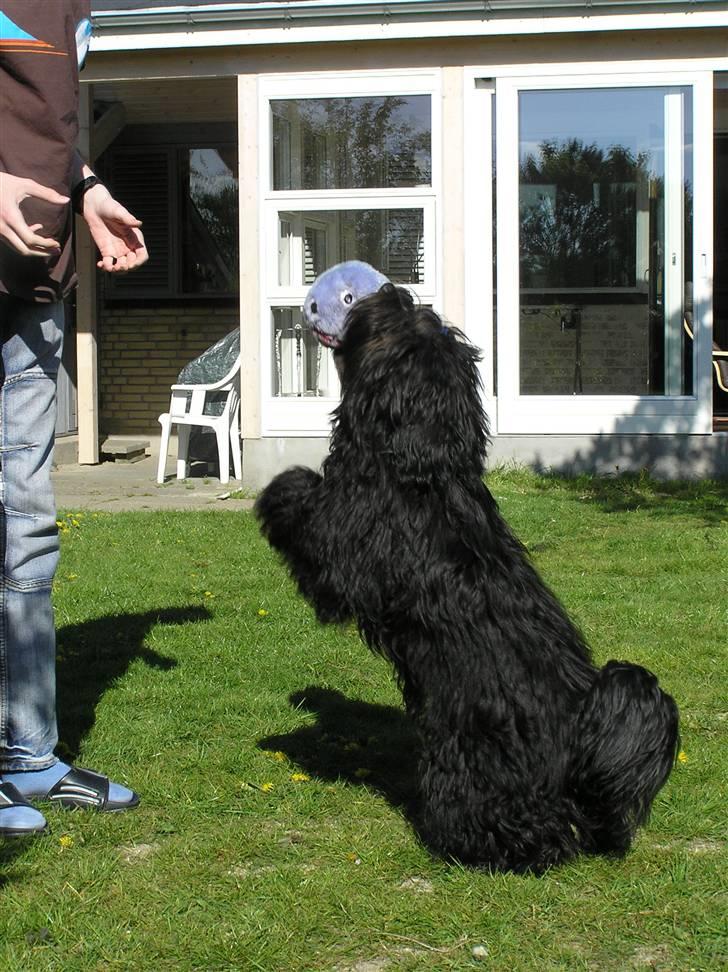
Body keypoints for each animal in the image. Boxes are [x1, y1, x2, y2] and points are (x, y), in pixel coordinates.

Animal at [255, 282, 676, 872]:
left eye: (401, 324)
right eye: (416, 316)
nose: (394, 289)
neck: (422, 469)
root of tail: (581, 734)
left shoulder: (345, 555)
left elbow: (303, 503)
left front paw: (281, 487)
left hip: (472, 760)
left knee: (529, 827)